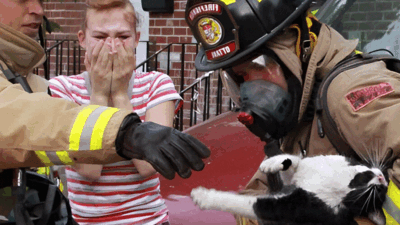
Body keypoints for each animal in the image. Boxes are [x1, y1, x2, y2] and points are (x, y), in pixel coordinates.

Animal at [191, 155, 388, 225]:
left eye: (378, 193)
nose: (382, 180)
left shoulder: (294, 207)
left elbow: (245, 203)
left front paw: (203, 196)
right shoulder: (300, 173)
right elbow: (295, 160)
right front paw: (271, 163)